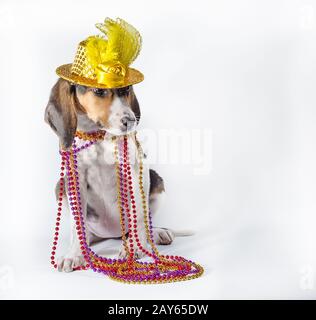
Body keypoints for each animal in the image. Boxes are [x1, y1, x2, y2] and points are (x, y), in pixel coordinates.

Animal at [44, 79, 188, 272]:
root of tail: (113, 234)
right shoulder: (75, 176)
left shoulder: (135, 169)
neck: (96, 135)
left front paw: (134, 248)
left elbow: (138, 215)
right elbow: (77, 222)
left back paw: (156, 234)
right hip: (60, 185)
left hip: (157, 182)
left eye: (126, 88)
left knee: (145, 223)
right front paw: (74, 254)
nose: (131, 121)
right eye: (99, 91)